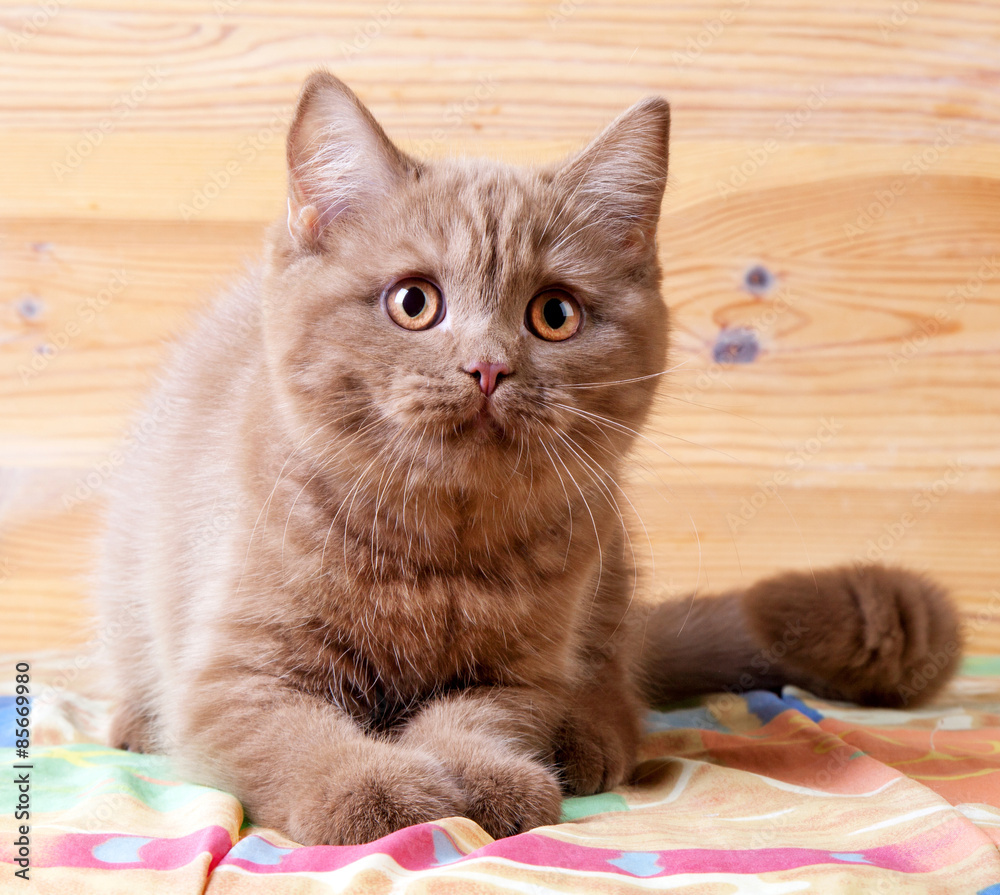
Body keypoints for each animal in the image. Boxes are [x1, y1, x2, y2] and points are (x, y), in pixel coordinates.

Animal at [97, 72, 964, 848]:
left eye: (554, 314)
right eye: (414, 302)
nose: (488, 366)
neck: (438, 551)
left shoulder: (519, 674)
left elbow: (478, 718)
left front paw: (486, 775)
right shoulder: (235, 676)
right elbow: (296, 737)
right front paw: (370, 789)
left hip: (610, 569)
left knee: (621, 684)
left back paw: (587, 736)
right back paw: (136, 719)